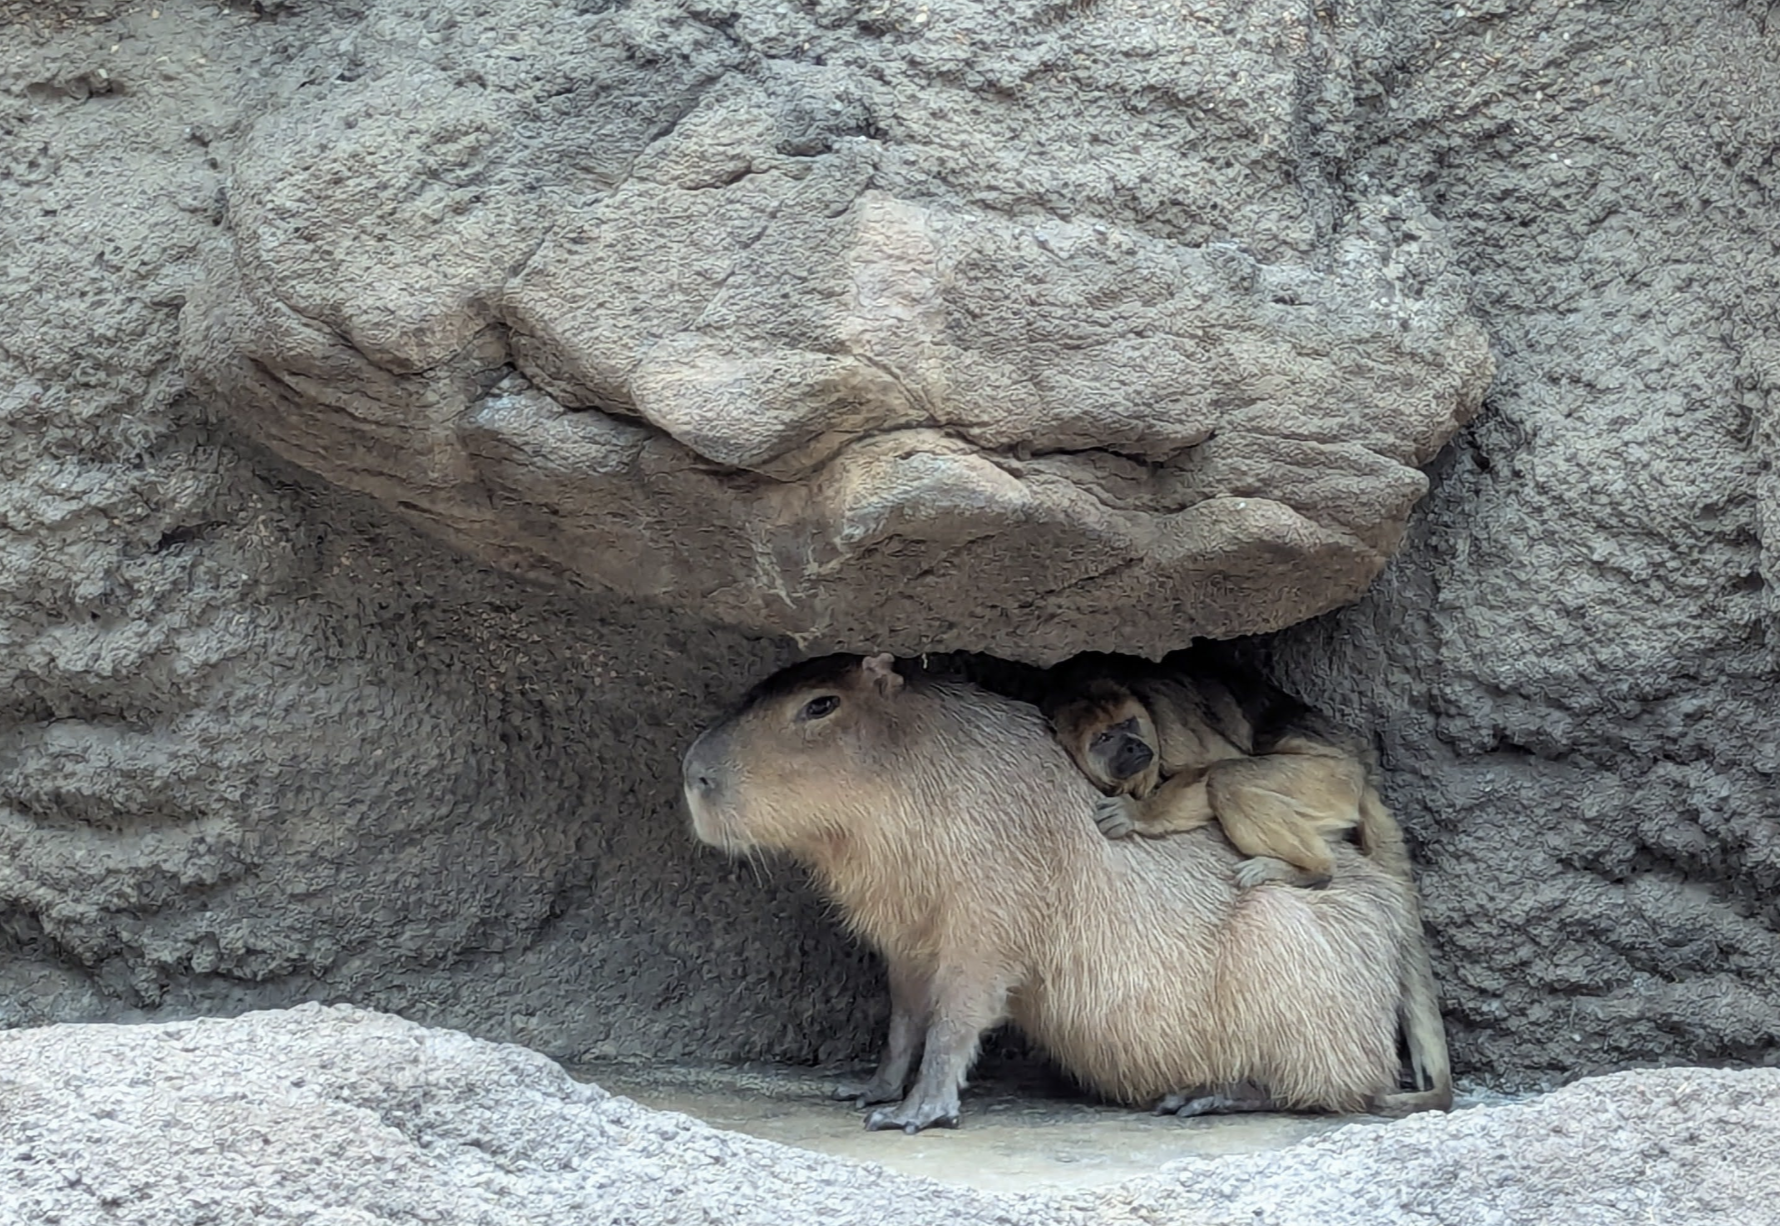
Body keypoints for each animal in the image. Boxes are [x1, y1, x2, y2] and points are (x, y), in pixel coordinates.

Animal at [682, 652, 1450, 1134]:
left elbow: (958, 1013)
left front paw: (915, 1113)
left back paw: (1206, 1097)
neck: (928, 765)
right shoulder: (905, 935)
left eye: (820, 705)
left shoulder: (990, 906)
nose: (693, 774)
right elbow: (904, 1016)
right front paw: (868, 1088)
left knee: (1335, 1087)